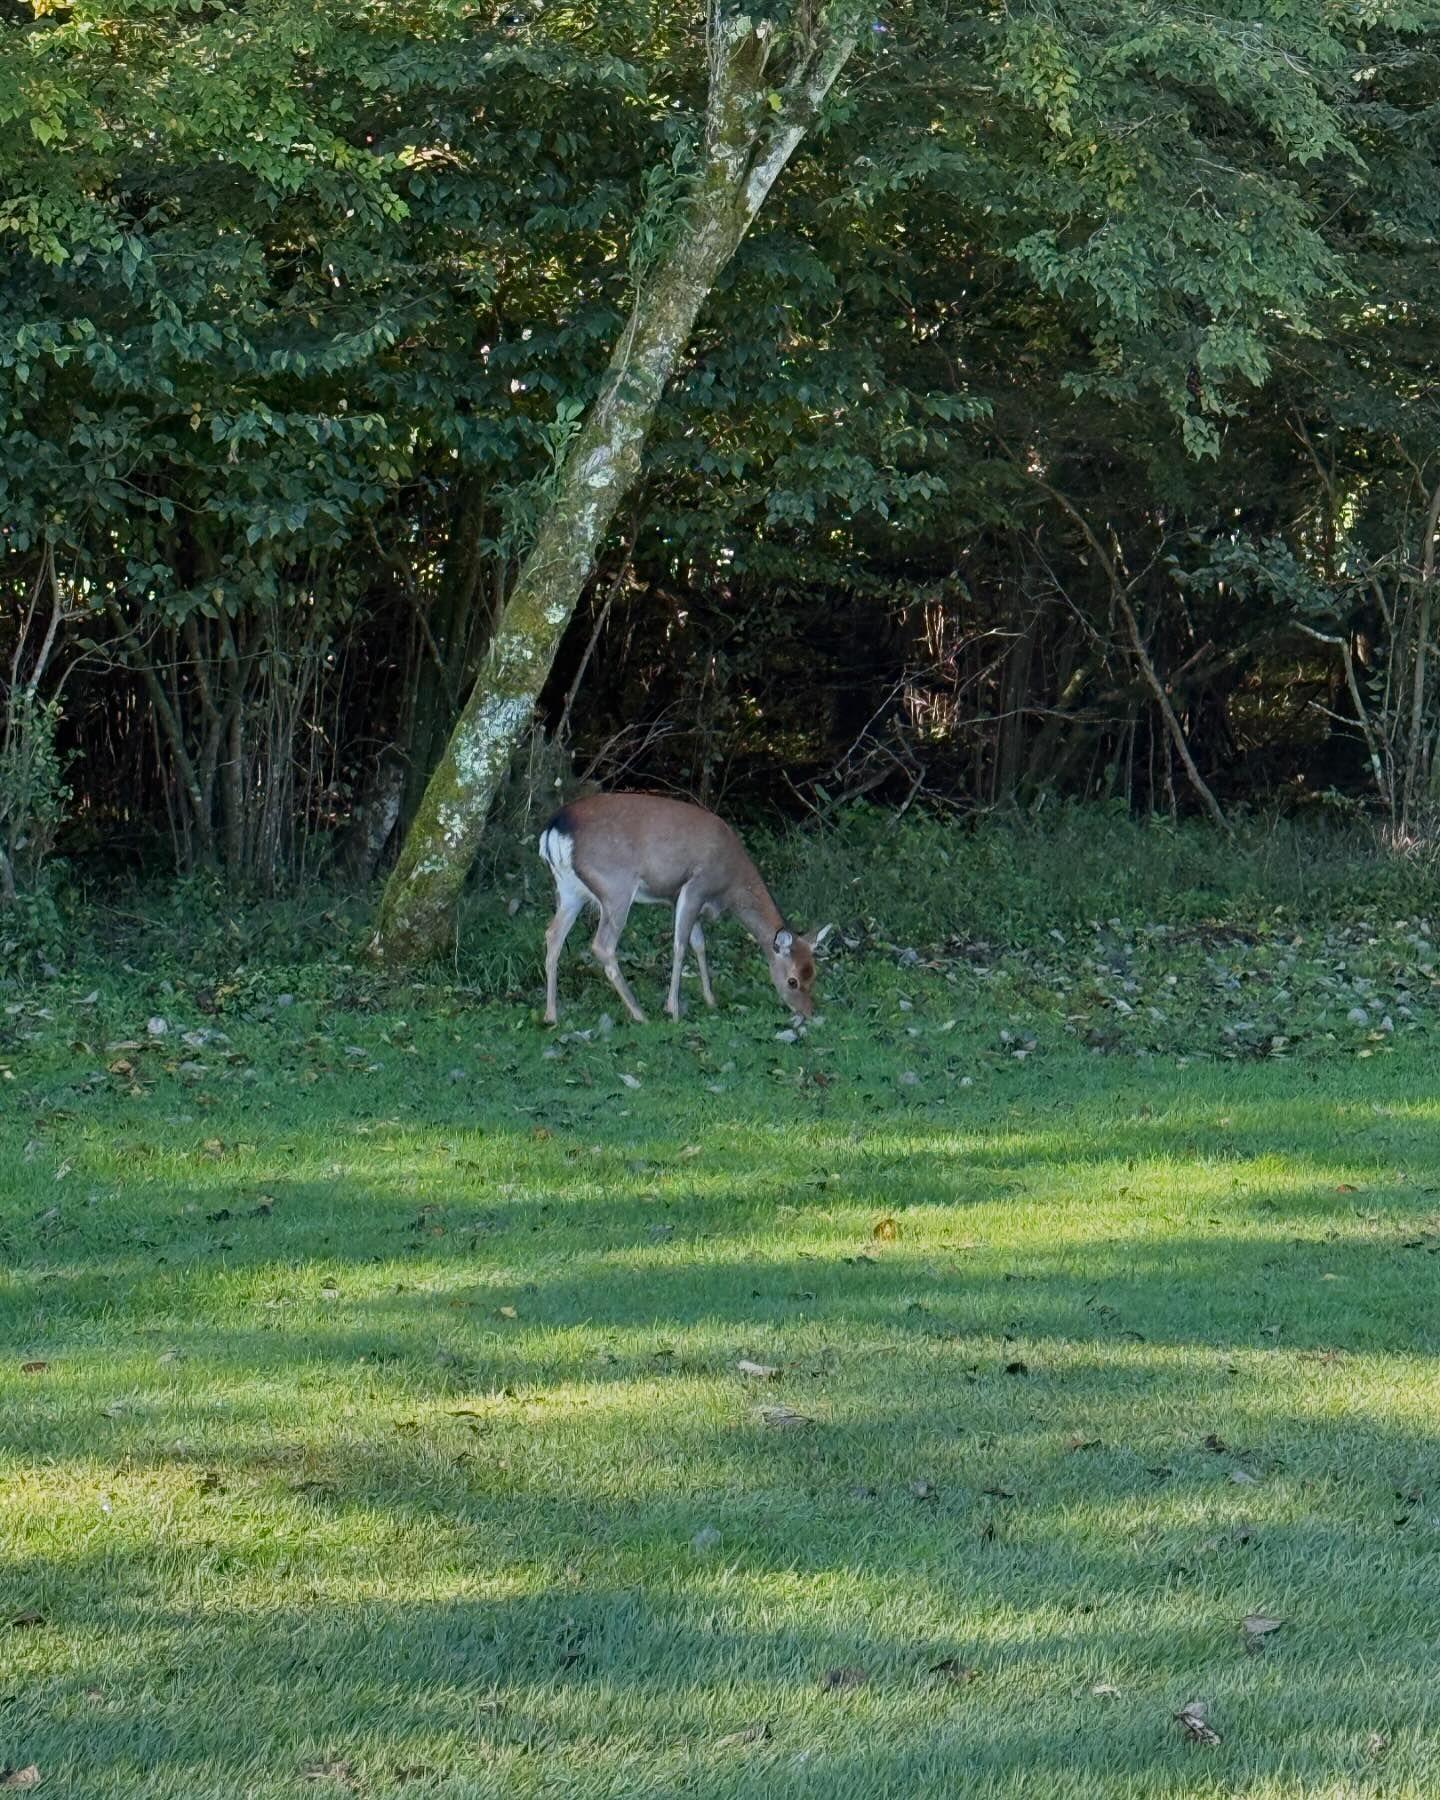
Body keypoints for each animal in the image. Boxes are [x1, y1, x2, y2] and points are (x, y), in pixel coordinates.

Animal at [536, 792, 831, 1029]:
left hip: (569, 890)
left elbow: (699, 943)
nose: (807, 1012)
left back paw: (551, 1015)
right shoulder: (695, 886)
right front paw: (673, 1010)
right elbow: (680, 946)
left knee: (553, 935)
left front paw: (710, 999)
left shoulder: (681, 898)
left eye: (814, 974)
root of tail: (553, 828)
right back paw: (640, 1013)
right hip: (615, 887)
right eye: (792, 981)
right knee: (602, 945)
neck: (729, 885)